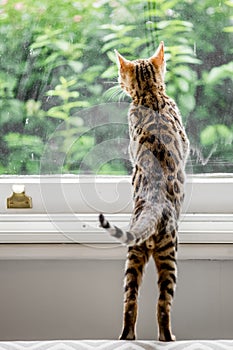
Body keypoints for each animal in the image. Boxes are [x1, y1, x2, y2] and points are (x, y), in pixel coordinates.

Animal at [98, 41, 189, 342]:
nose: (117, 82)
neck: (150, 95)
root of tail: (153, 205)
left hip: (133, 257)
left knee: (130, 301)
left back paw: (127, 336)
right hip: (170, 254)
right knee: (163, 303)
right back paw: (167, 337)